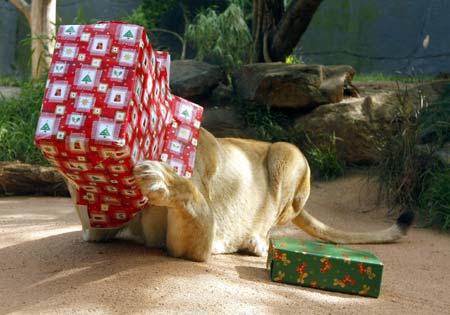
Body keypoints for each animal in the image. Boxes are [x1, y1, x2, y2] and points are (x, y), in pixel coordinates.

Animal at [71, 128, 414, 262]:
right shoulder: (95, 230)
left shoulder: (194, 242)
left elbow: (191, 193)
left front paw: (161, 177)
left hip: (288, 154)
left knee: (272, 222)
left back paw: (255, 243)